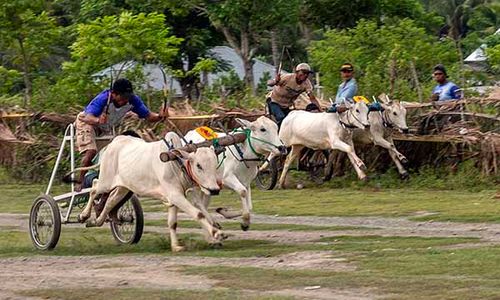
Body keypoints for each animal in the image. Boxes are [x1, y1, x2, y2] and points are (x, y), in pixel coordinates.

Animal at [79, 132, 225, 252]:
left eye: (215, 164)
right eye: (199, 165)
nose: (214, 189)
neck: (176, 163)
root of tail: (113, 143)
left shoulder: (177, 197)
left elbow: (173, 223)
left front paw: (176, 246)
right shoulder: (175, 195)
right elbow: (199, 214)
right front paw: (217, 233)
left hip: (123, 188)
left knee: (110, 201)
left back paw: (97, 221)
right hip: (106, 182)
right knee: (94, 187)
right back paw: (84, 215)